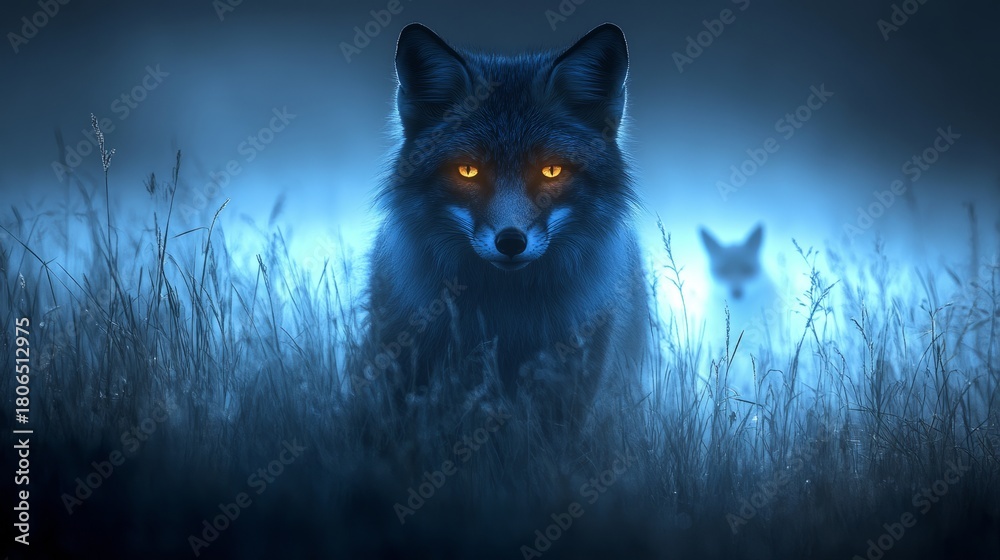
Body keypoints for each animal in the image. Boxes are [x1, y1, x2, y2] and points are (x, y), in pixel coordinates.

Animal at [359, 23, 648, 433]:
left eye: (551, 170)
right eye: (467, 170)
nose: (510, 242)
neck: (504, 313)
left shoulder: (572, 388)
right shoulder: (402, 368)